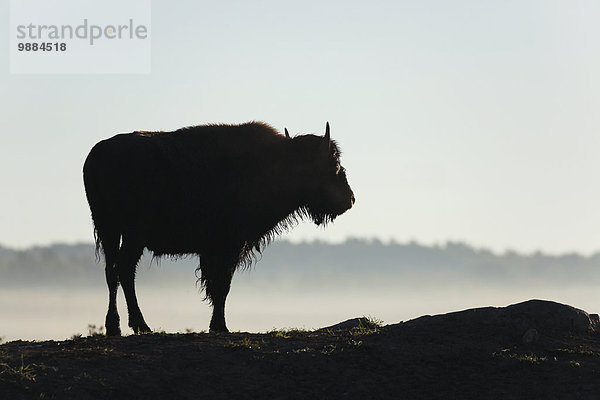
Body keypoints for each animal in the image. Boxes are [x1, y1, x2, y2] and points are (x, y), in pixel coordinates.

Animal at [85, 121, 356, 334]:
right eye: (334, 163)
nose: (350, 199)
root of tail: (98, 154)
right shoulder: (230, 245)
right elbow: (222, 284)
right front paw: (220, 326)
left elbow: (217, 286)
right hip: (133, 234)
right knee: (125, 269)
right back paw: (141, 325)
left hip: (110, 229)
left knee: (112, 272)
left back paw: (114, 327)